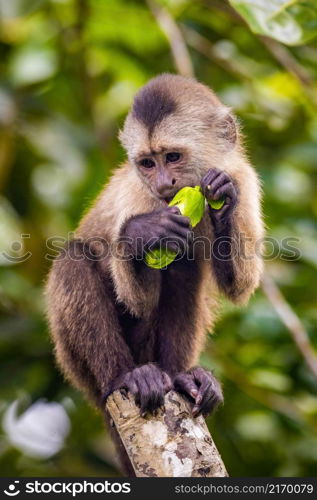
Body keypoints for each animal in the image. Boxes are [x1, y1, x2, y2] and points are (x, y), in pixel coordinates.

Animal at [45, 72, 262, 470]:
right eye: (147, 163)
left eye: (172, 157)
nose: (163, 184)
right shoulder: (140, 197)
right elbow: (137, 299)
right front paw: (142, 234)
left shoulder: (244, 176)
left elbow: (239, 286)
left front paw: (222, 200)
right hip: (73, 362)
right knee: (73, 258)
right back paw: (127, 376)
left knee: (187, 271)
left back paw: (181, 378)